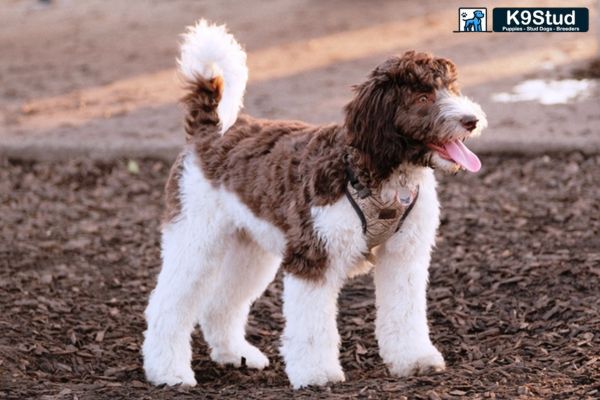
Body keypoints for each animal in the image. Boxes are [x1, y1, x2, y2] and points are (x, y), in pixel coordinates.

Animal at [142, 19, 488, 390]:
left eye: (452, 88)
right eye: (423, 97)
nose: (472, 120)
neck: (375, 172)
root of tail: (207, 130)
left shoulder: (404, 256)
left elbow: (406, 312)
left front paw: (415, 359)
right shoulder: (313, 258)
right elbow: (311, 326)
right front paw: (316, 373)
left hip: (250, 249)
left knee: (220, 304)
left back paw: (236, 354)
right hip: (195, 240)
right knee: (166, 306)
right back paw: (168, 372)